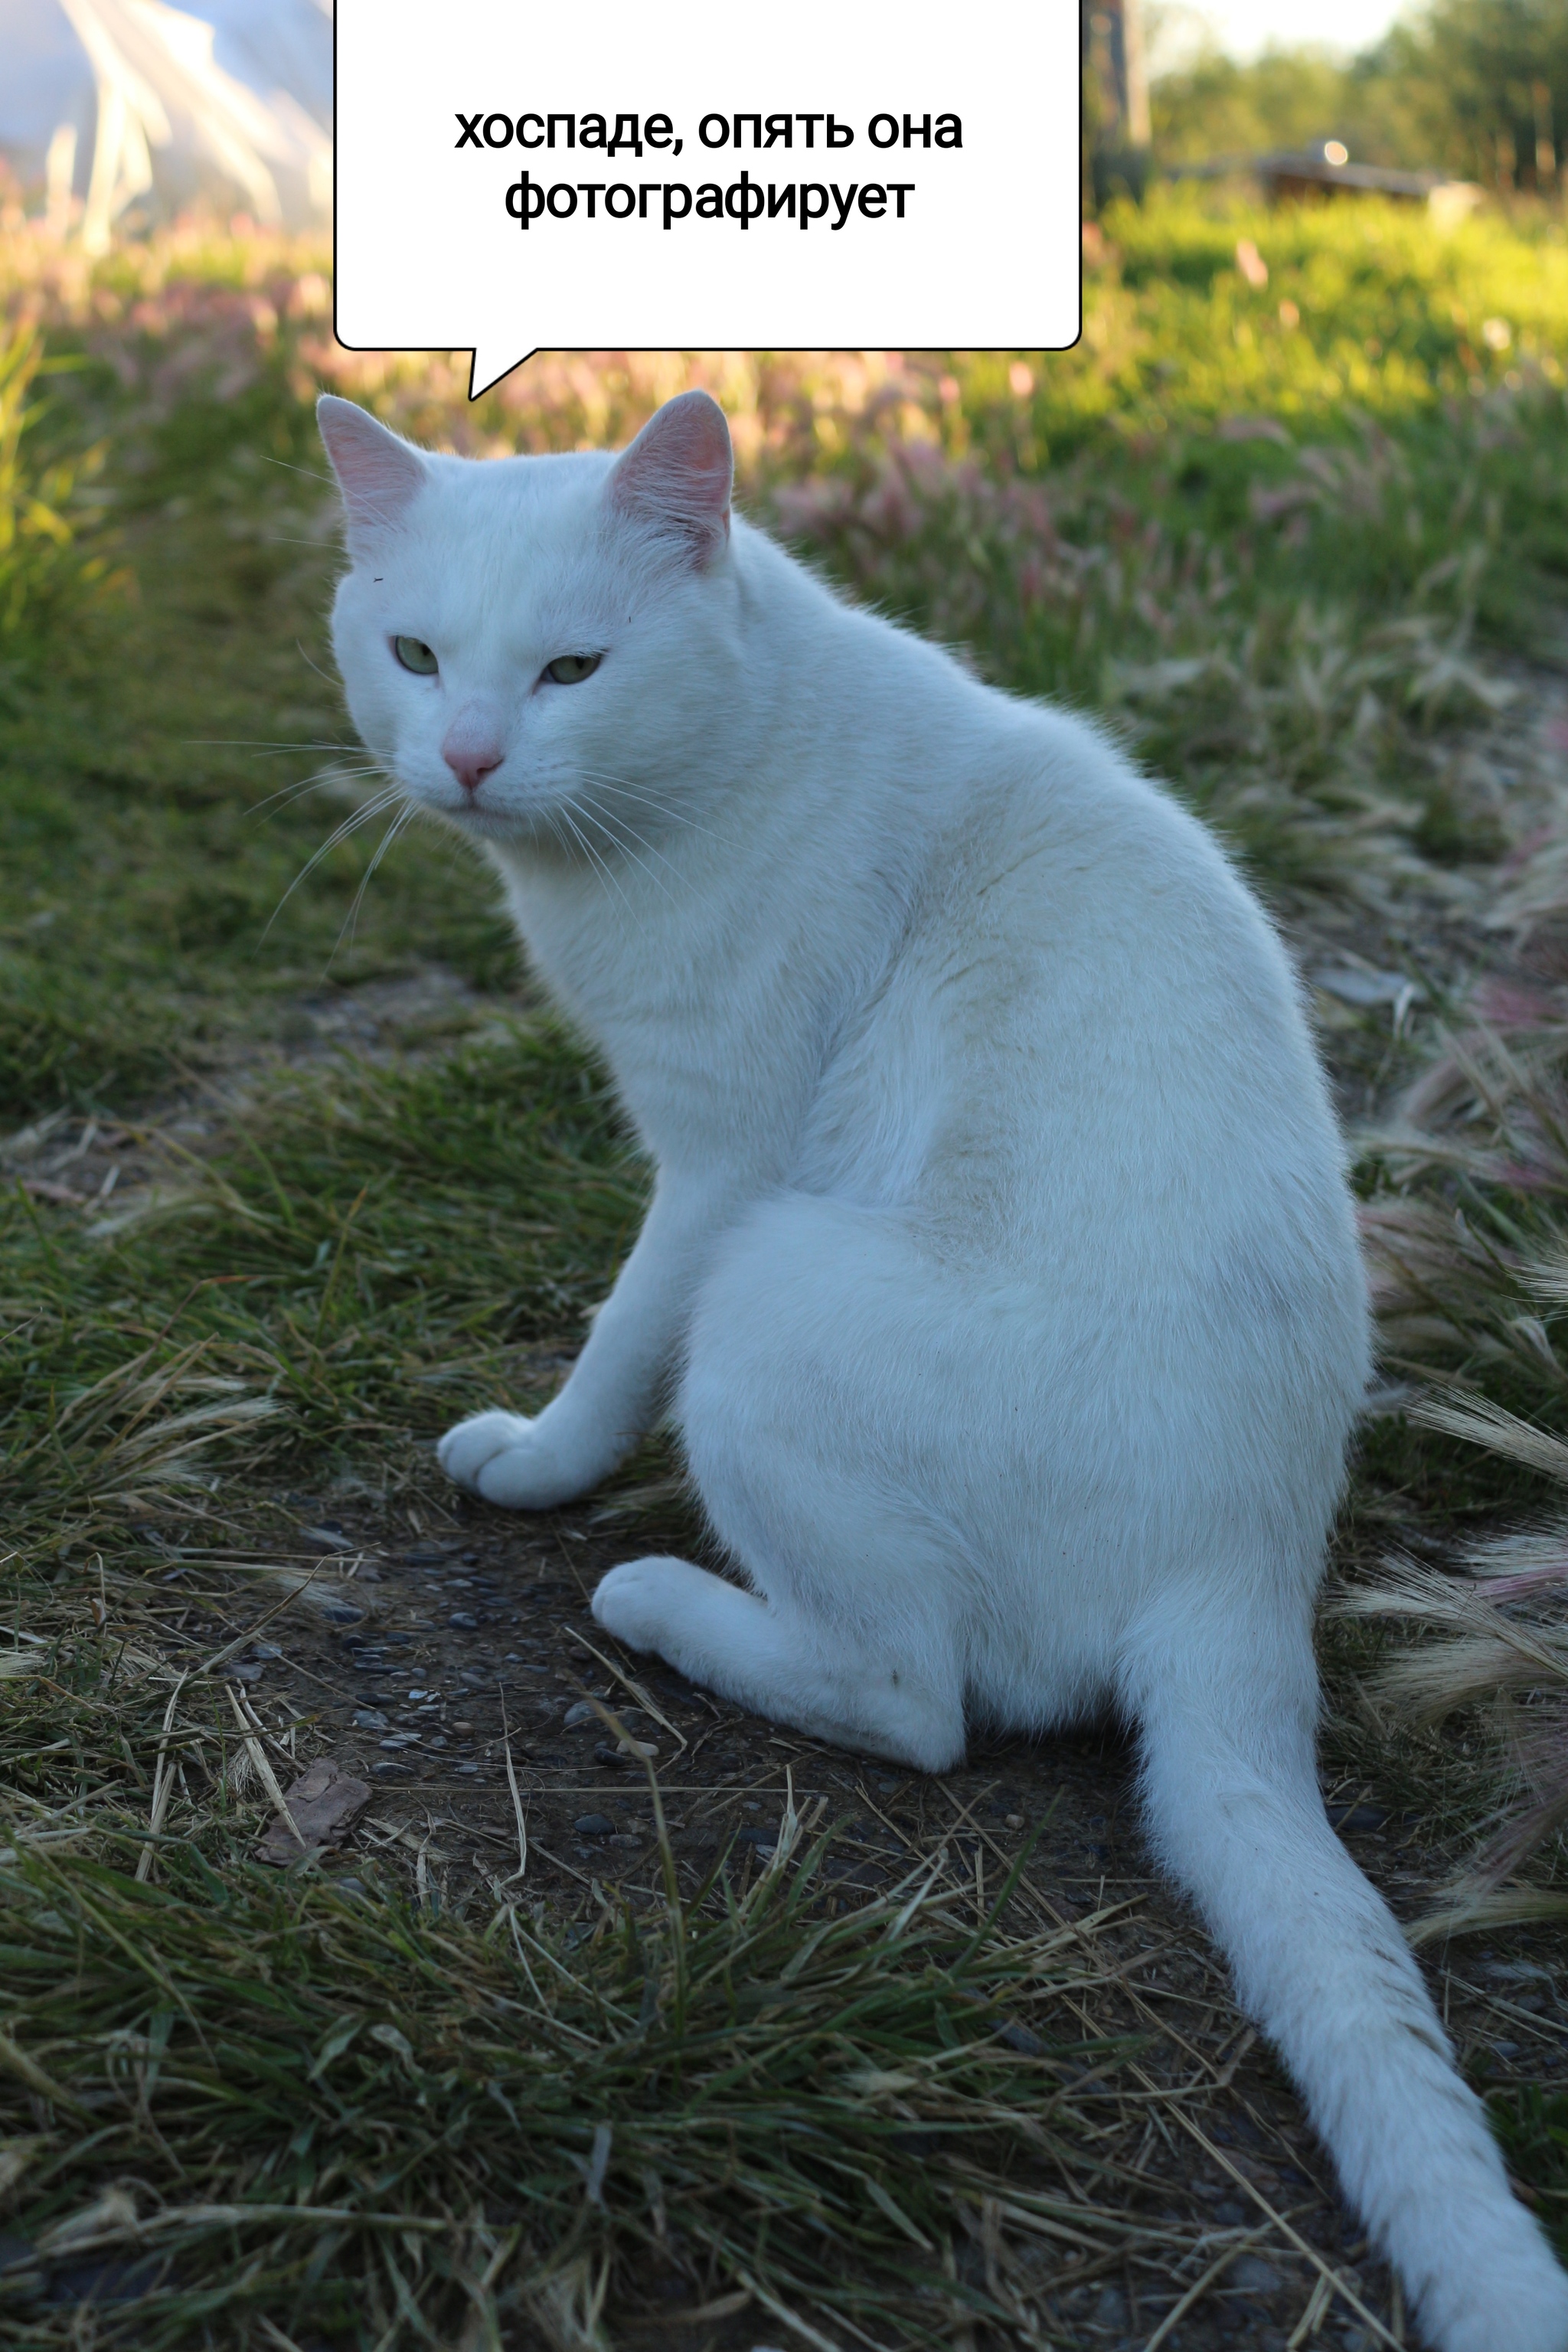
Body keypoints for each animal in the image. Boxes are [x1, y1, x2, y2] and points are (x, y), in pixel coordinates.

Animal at [319, 390, 1568, 2352]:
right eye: (417, 656)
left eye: (572, 669)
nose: (460, 757)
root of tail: (1245, 1579)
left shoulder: (721, 1165)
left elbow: (616, 1342)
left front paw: (538, 1460)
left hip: (767, 1302)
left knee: (919, 1703)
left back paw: (660, 1596)